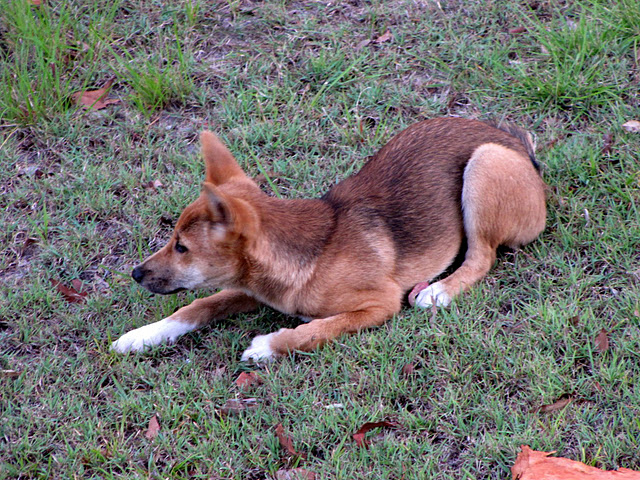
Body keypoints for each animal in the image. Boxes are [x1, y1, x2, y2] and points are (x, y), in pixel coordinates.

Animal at [111, 118, 544, 362]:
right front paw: (143, 336)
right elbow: (199, 305)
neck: (310, 254)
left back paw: (440, 291)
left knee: (482, 256)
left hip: (484, 164)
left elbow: (315, 330)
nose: (135, 273)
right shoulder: (250, 289)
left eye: (182, 248)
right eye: (173, 240)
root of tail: (517, 145)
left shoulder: (380, 304)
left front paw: (268, 347)